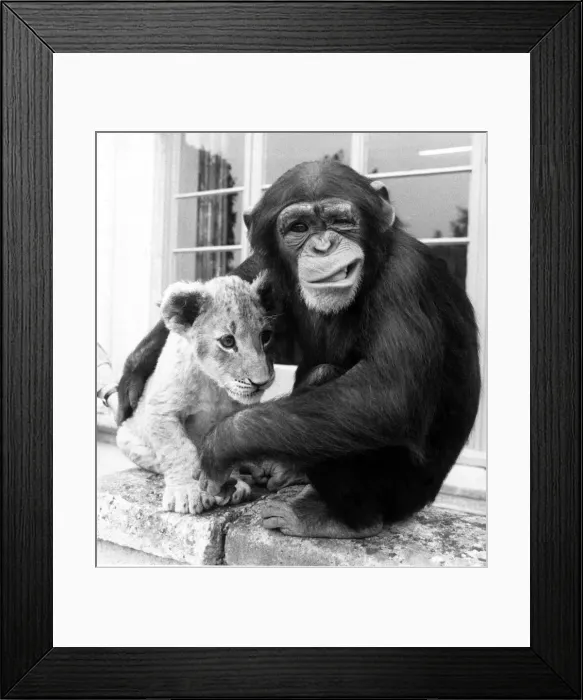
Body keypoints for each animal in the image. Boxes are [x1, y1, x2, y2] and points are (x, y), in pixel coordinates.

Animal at [116, 273, 275, 515]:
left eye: (265, 336)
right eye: (228, 341)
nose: (261, 382)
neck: (215, 386)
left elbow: (226, 446)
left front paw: (233, 484)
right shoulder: (162, 410)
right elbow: (179, 449)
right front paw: (187, 492)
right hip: (125, 436)